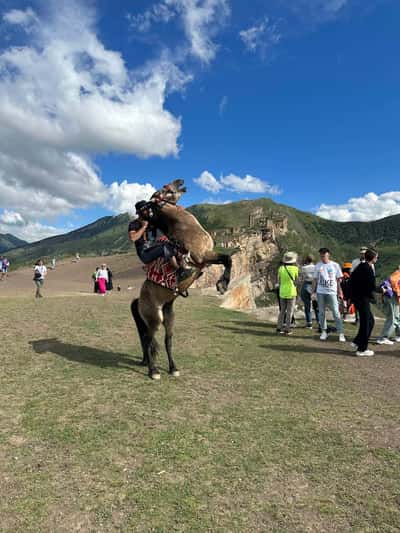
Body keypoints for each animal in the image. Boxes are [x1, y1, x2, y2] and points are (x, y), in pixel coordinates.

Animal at [130, 179, 233, 378]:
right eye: (164, 188)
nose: (180, 181)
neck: (185, 227)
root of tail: (139, 300)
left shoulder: (207, 258)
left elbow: (227, 259)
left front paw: (223, 284)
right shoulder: (203, 256)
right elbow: (228, 259)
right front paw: (222, 284)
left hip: (169, 318)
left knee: (166, 341)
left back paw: (173, 368)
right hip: (154, 319)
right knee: (148, 339)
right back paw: (153, 370)